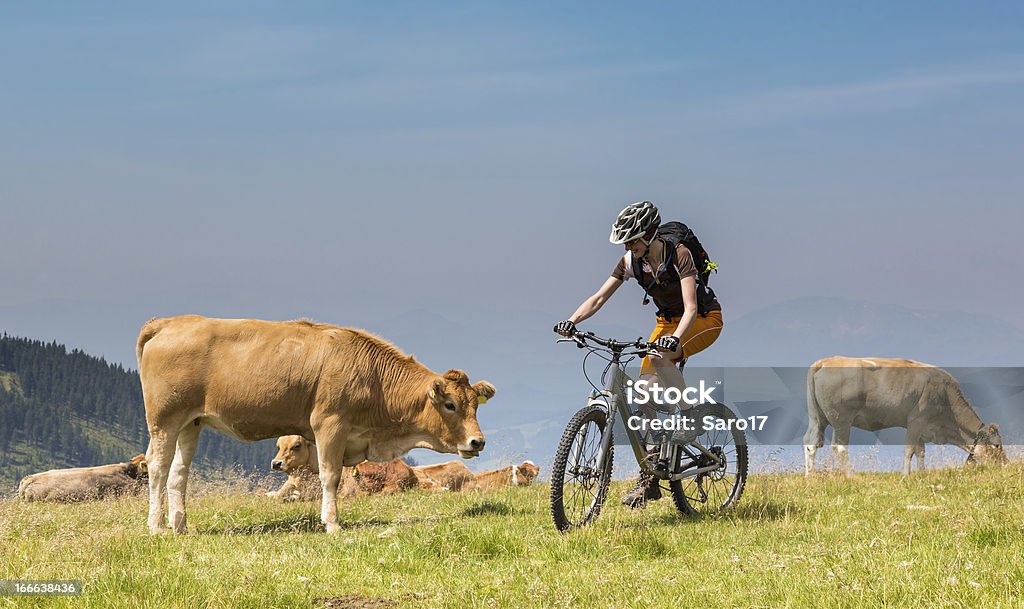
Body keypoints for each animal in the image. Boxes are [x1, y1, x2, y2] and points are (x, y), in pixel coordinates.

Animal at [140, 315, 495, 532]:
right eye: (450, 405)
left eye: (475, 404)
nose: (477, 441)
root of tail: (168, 323)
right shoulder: (329, 424)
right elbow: (330, 475)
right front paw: (332, 523)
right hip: (164, 420)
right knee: (157, 466)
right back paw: (157, 526)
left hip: (191, 423)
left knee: (178, 472)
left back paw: (180, 526)